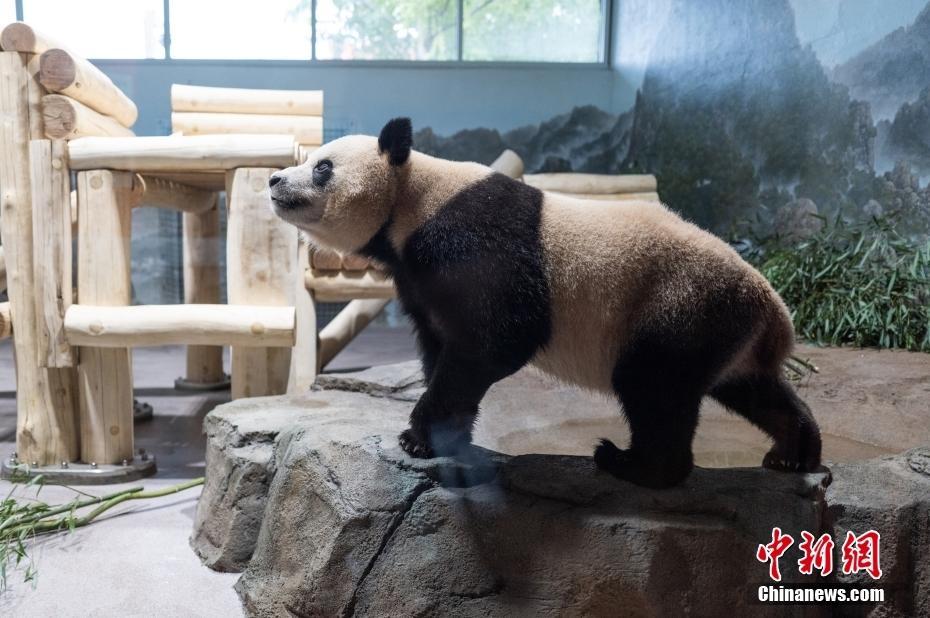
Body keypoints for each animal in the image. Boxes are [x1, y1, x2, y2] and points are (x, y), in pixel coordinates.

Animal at [268, 118, 820, 488]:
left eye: (322, 167)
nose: (275, 181)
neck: (411, 199)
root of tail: (775, 312)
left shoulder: (471, 239)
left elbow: (501, 336)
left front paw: (417, 436)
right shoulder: (417, 273)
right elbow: (440, 342)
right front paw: (445, 435)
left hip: (678, 302)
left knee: (652, 384)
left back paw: (632, 464)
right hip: (724, 329)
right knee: (751, 388)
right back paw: (793, 453)